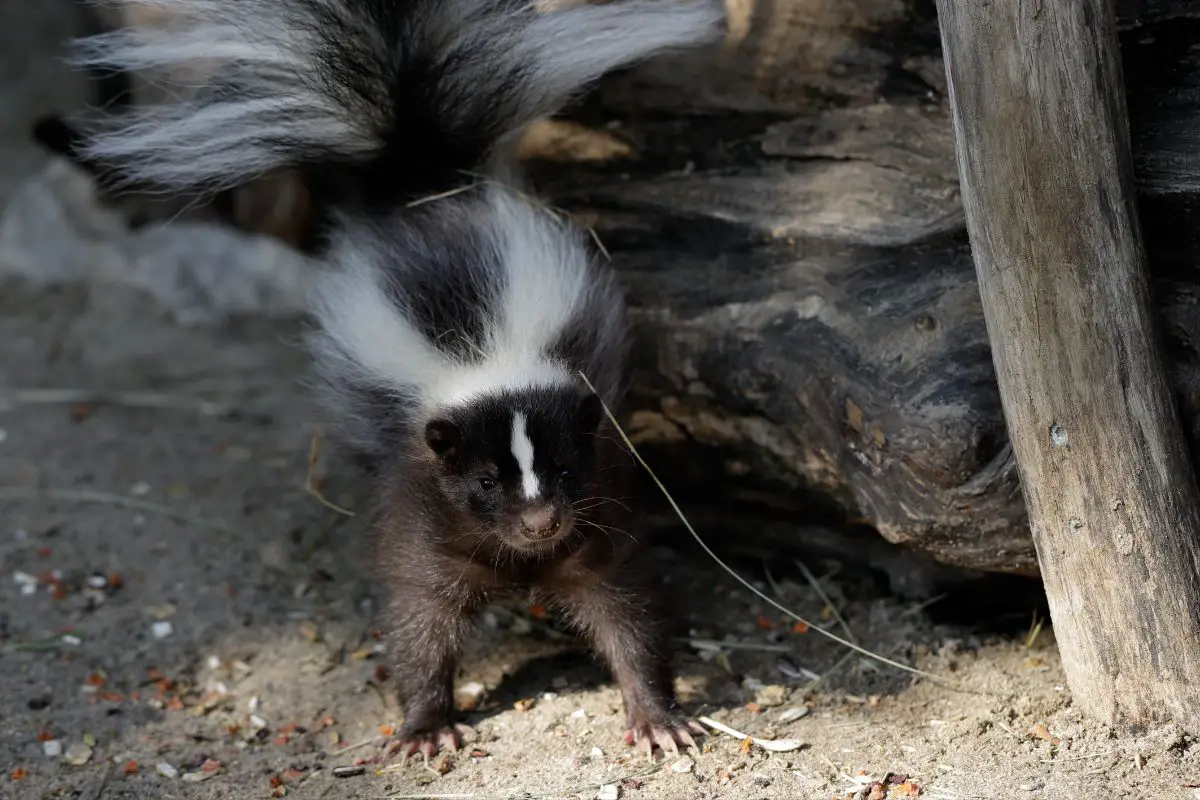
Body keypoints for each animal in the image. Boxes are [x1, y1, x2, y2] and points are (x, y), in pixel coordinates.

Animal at [75, 0, 724, 758]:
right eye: (484, 482)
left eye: (565, 470)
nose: (539, 522)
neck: (485, 356)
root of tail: (420, 182)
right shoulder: (421, 500)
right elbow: (422, 615)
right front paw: (425, 727)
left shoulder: (599, 498)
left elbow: (623, 608)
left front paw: (657, 718)